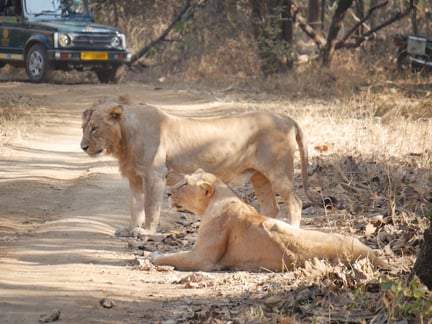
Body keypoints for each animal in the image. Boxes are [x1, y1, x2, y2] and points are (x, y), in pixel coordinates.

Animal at [82, 96, 320, 235]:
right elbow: (135, 206)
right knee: (272, 207)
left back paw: (292, 230)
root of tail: (286, 117)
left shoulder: (154, 175)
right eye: (84, 128)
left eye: (94, 128)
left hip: (279, 172)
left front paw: (146, 232)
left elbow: (150, 207)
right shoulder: (135, 177)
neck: (124, 139)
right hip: (259, 176)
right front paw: (131, 228)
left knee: (296, 202)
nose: (83, 147)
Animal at [154, 168, 390, 272]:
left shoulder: (203, 259)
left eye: (185, 183)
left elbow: (172, 257)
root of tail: (371, 254)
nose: (168, 193)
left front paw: (154, 257)